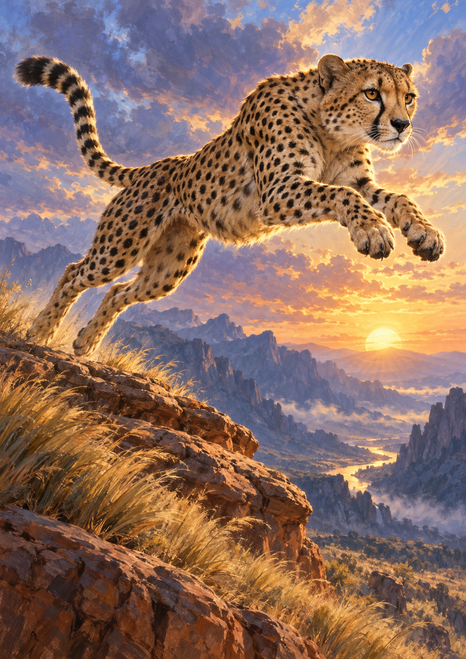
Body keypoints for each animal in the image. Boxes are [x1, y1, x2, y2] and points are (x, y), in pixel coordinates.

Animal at [15, 54, 445, 357]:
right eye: (372, 93)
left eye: (409, 97)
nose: (402, 125)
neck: (331, 130)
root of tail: (152, 167)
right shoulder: (279, 191)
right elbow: (343, 196)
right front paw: (373, 232)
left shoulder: (356, 181)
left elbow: (397, 198)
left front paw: (425, 234)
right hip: (121, 245)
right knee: (75, 272)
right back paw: (41, 331)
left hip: (171, 266)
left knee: (118, 292)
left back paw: (86, 343)